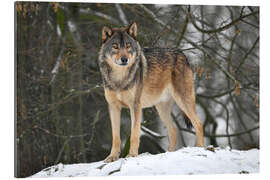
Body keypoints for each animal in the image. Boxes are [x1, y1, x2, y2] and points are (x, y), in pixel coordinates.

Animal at [98, 21, 204, 162]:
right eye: (115, 46)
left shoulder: (135, 106)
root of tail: (181, 53)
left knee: (198, 124)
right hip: (161, 109)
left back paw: (200, 148)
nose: (124, 59)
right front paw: (112, 157)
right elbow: (115, 137)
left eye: (128, 46)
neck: (119, 79)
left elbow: (134, 133)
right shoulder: (113, 106)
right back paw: (169, 153)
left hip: (183, 101)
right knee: (173, 130)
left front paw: (132, 155)